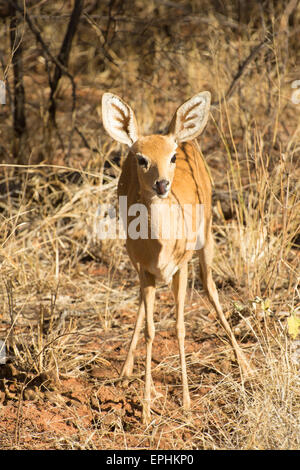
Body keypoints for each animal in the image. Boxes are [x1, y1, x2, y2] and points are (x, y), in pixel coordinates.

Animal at [101, 91, 253, 422]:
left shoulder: (181, 267)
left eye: (172, 157)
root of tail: (179, 132)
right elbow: (150, 329)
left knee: (211, 288)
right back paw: (125, 370)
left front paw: (185, 402)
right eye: (141, 159)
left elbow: (181, 328)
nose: (161, 185)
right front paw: (146, 409)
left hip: (206, 237)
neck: (161, 246)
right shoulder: (145, 270)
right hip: (134, 260)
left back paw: (245, 365)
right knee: (142, 306)